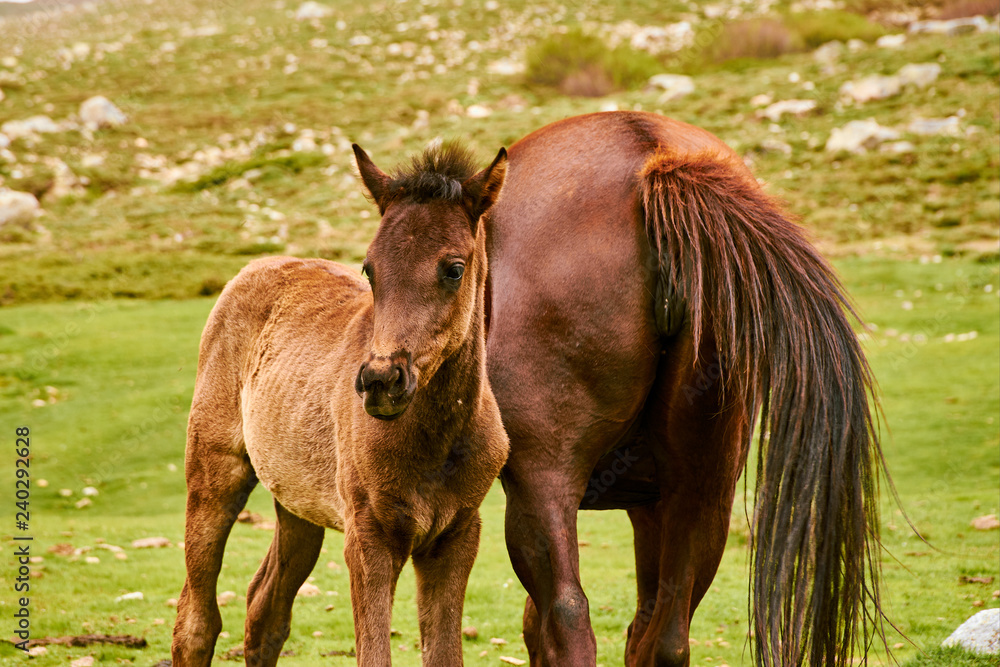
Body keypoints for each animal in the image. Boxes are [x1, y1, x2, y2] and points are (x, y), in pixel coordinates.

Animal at [170, 143, 510, 666]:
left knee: (265, 609)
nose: (380, 381)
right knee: (196, 621)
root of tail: (254, 267)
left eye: (454, 268)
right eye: (370, 268)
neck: (435, 442)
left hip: (298, 502)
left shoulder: (456, 536)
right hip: (215, 472)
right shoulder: (368, 536)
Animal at [483, 111, 886, 666]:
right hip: (704, 491)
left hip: (543, 485)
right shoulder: (653, 506)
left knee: (568, 618)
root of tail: (656, 160)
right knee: (667, 638)